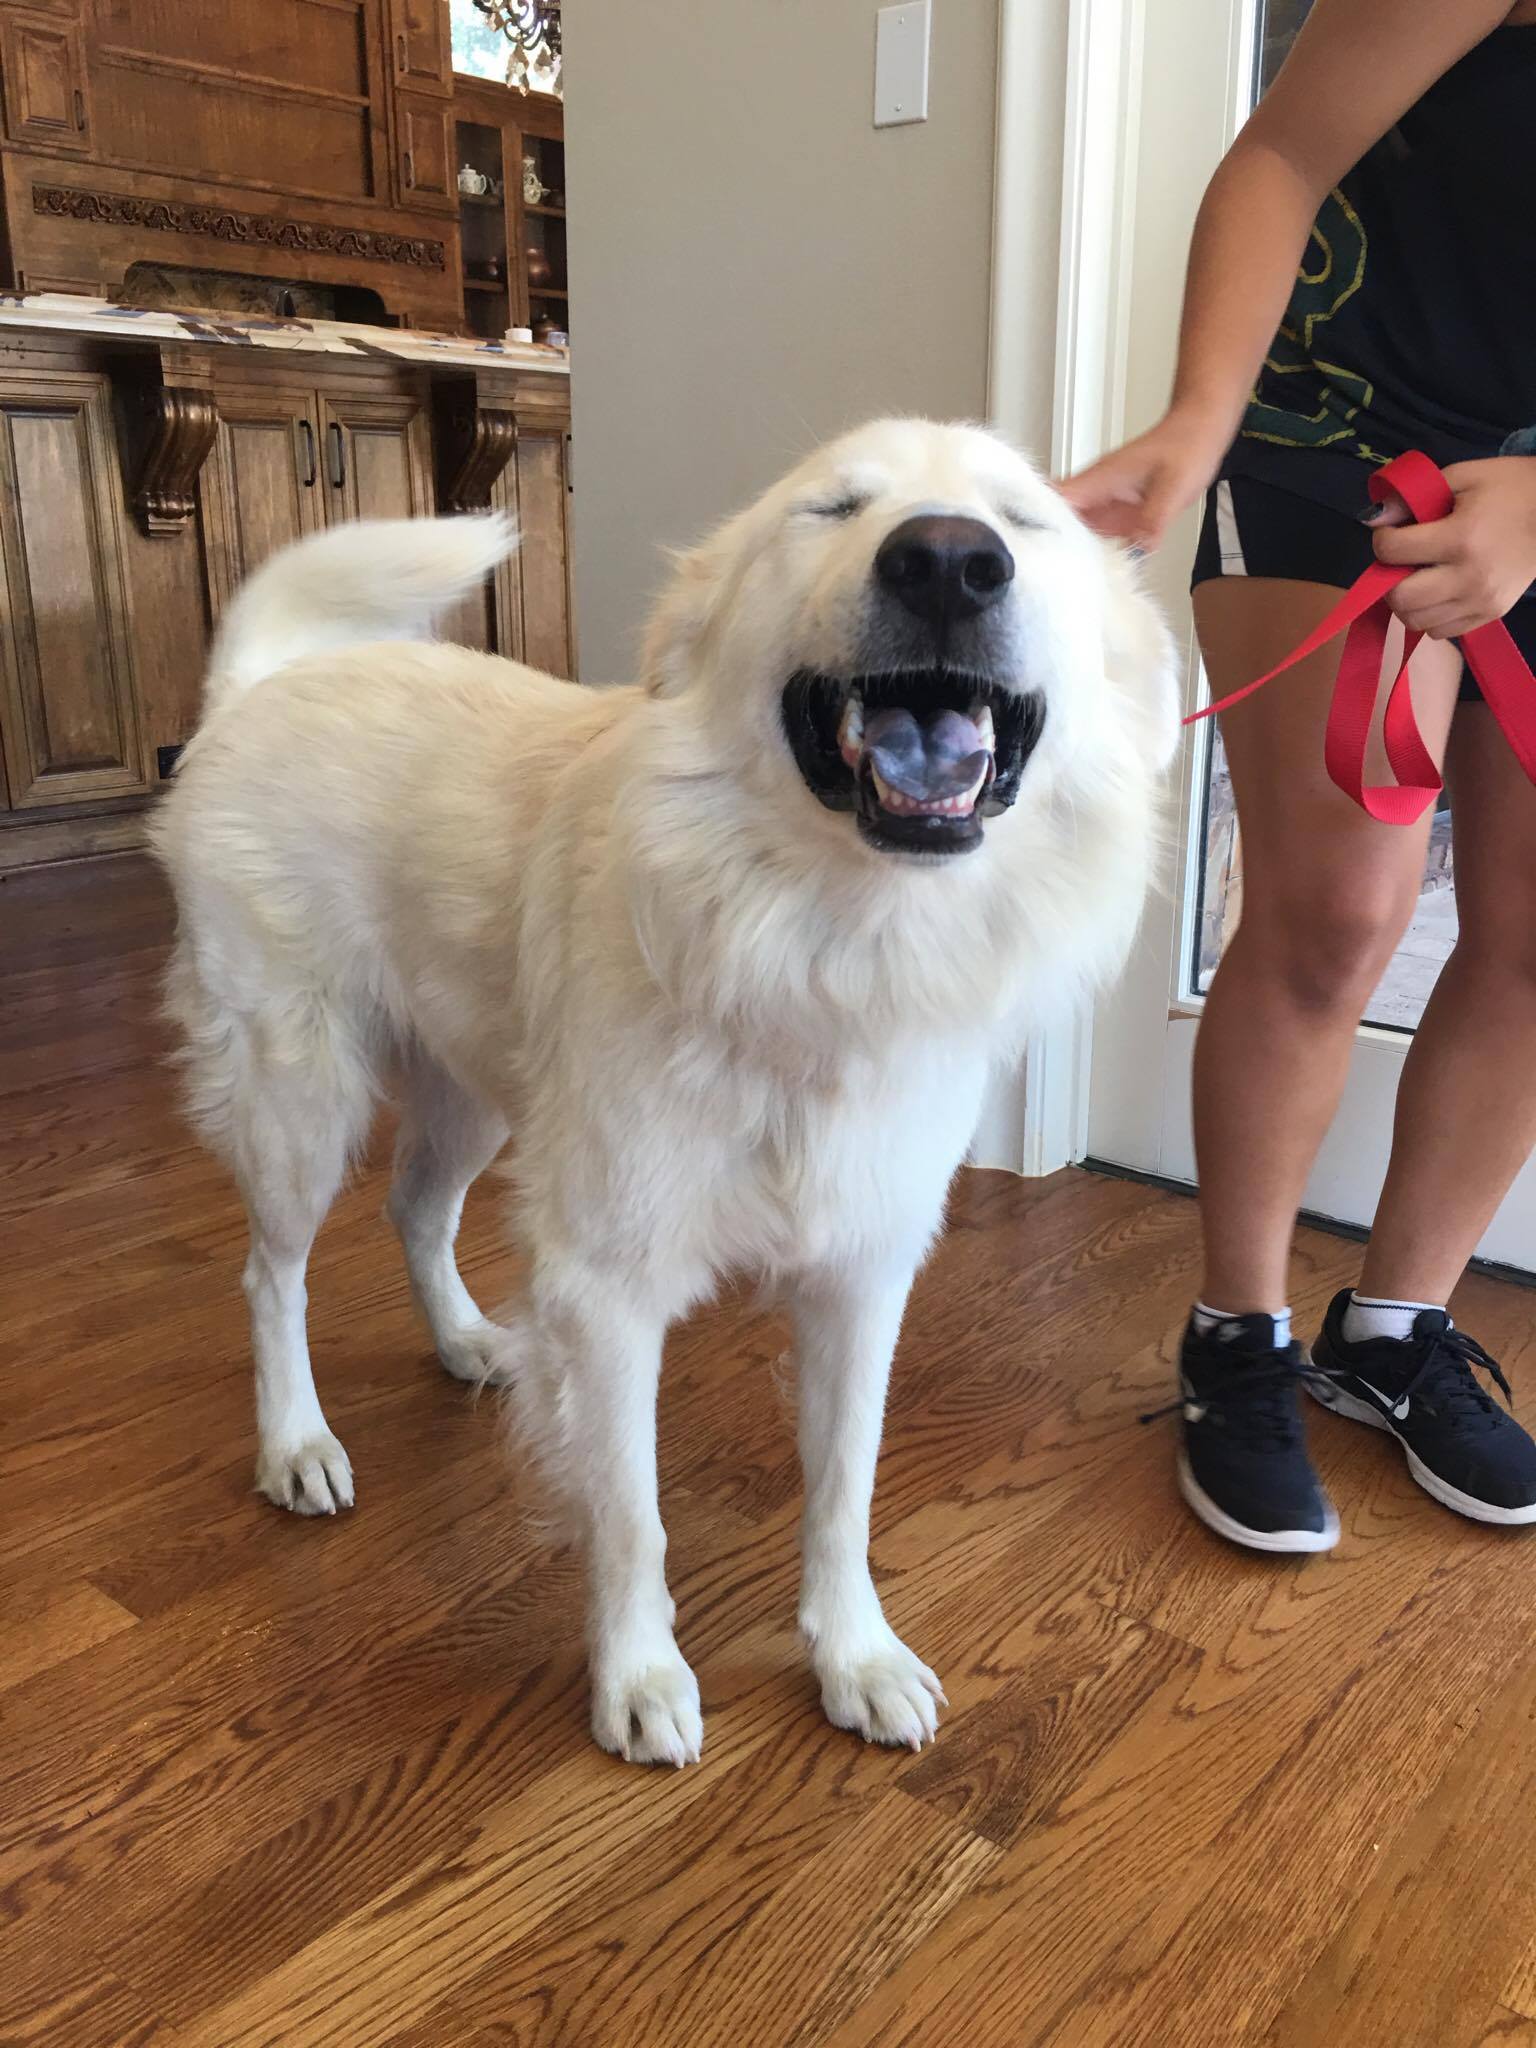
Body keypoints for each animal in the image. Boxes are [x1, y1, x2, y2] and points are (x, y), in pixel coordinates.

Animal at [156, 415, 1179, 1761]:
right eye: (832, 507)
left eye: (1025, 519)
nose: (950, 563)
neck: (823, 941)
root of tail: (257, 688)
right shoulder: (606, 1290)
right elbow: (631, 1515)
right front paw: (639, 1680)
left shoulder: (861, 1278)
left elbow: (844, 1491)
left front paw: (855, 1656)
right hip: (299, 1100)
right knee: (272, 1276)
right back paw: (296, 1443)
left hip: (477, 1098)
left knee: (415, 1212)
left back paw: (467, 1341)